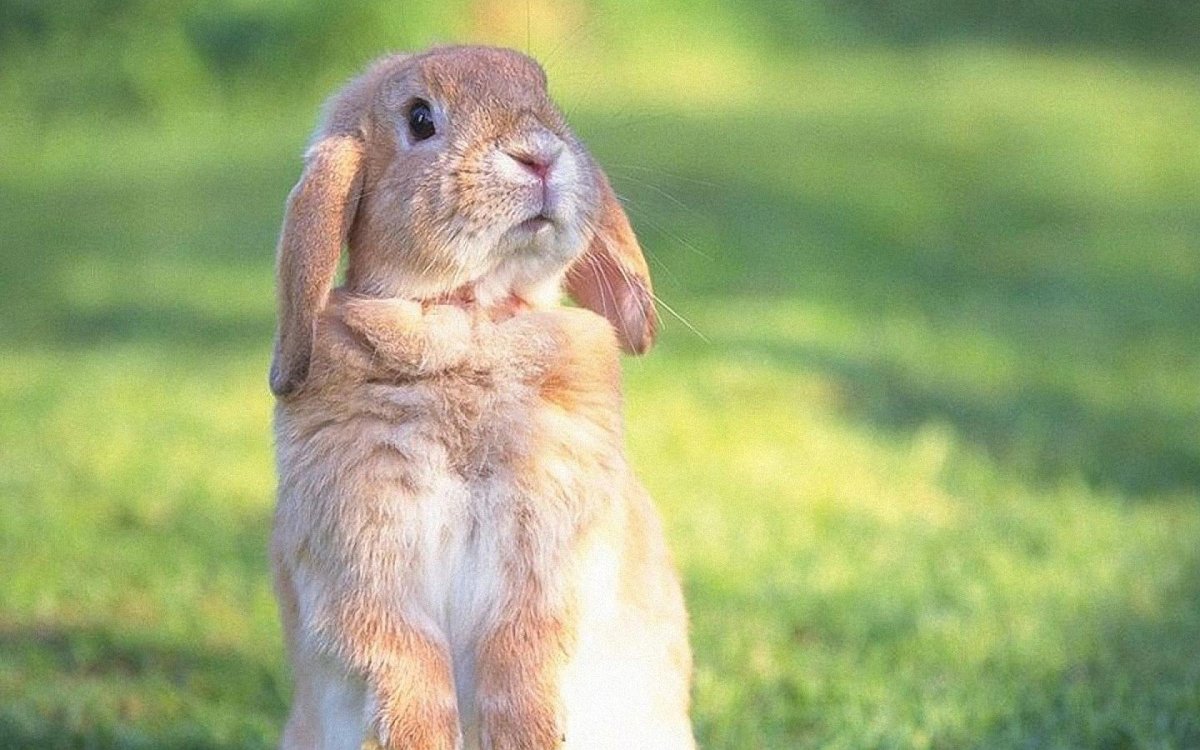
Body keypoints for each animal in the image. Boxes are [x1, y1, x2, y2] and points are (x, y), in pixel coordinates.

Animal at [268, 46, 694, 750]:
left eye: (546, 96)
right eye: (419, 118)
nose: (539, 155)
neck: (470, 318)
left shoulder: (550, 558)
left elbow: (522, 653)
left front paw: (530, 736)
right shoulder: (362, 565)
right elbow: (403, 656)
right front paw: (420, 739)